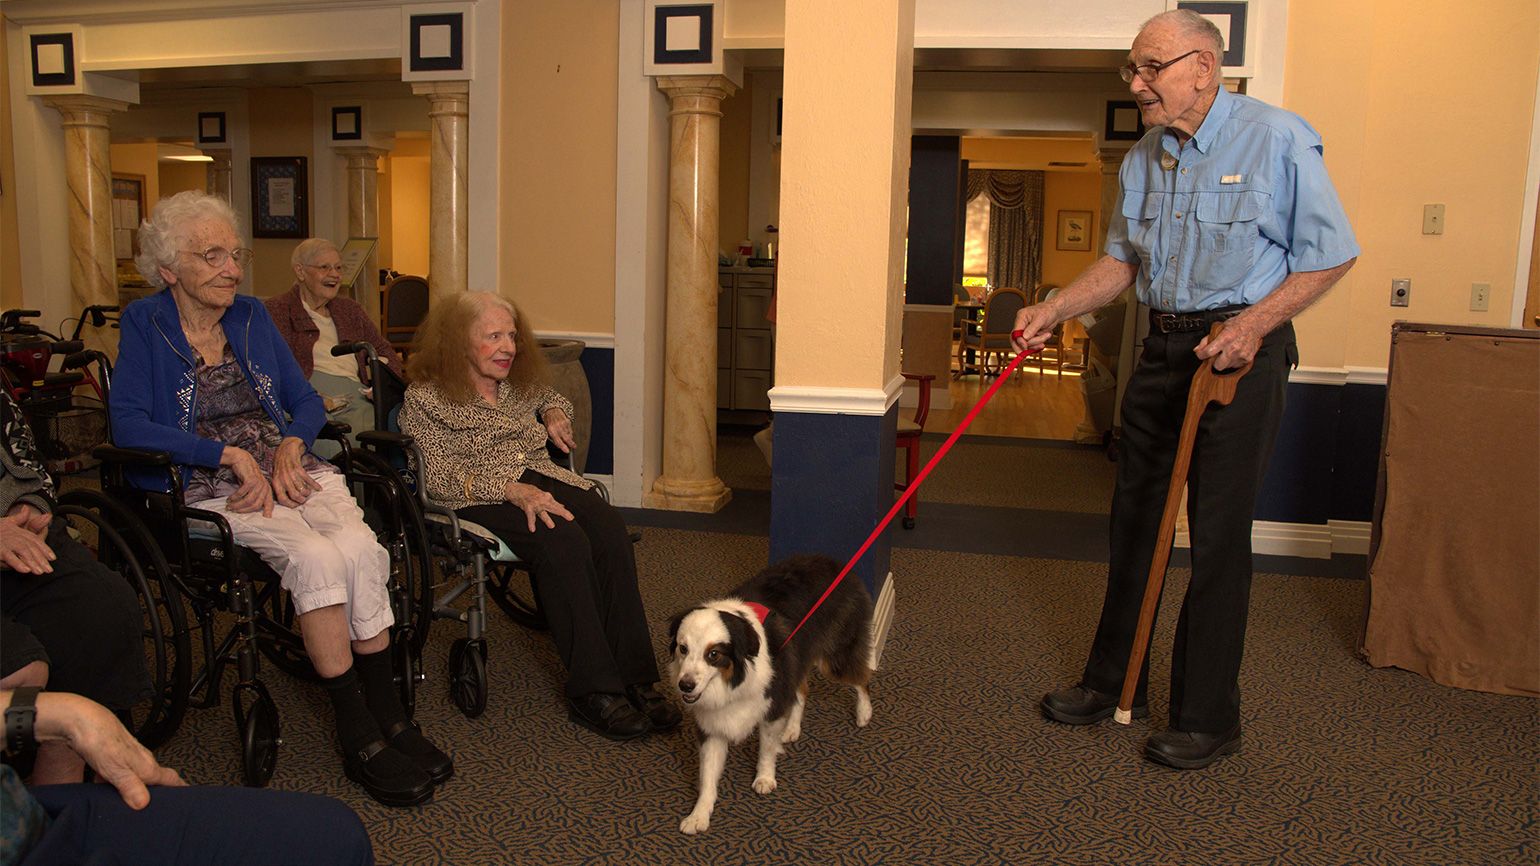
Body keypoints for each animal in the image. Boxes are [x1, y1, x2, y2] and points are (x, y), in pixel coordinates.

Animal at [668, 551, 874, 832]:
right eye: (683, 648)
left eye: (714, 654)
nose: (685, 685)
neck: (733, 682)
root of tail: (832, 561)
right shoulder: (711, 724)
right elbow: (707, 775)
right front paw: (699, 815)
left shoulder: (772, 704)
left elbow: (766, 747)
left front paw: (765, 778)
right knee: (802, 689)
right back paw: (792, 728)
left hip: (833, 658)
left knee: (862, 678)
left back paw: (864, 712)